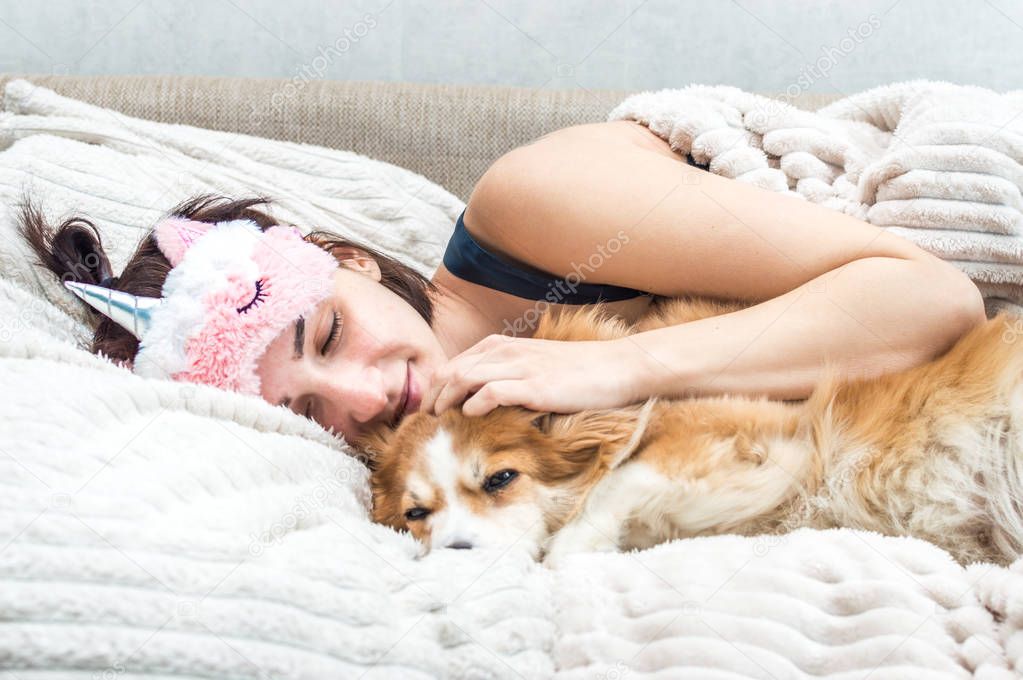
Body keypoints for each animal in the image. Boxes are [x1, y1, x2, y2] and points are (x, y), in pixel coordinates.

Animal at [356, 294, 1023, 564]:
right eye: (415, 515)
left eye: (500, 479)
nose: (453, 558)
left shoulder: (766, 438)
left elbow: (615, 485)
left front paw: (568, 554)